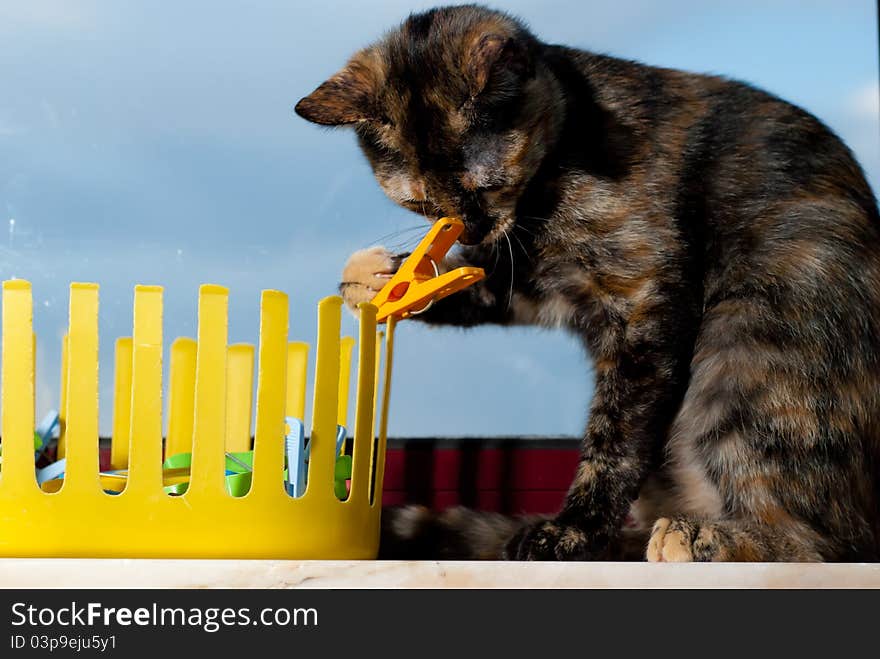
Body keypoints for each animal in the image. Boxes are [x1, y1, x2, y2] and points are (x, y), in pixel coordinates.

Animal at [296, 5, 880, 564]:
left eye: (488, 185)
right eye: (420, 202)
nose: (474, 227)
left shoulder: (641, 299)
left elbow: (615, 440)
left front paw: (571, 532)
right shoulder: (529, 280)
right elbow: (470, 283)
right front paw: (373, 279)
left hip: (746, 355)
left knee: (815, 544)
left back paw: (699, 538)